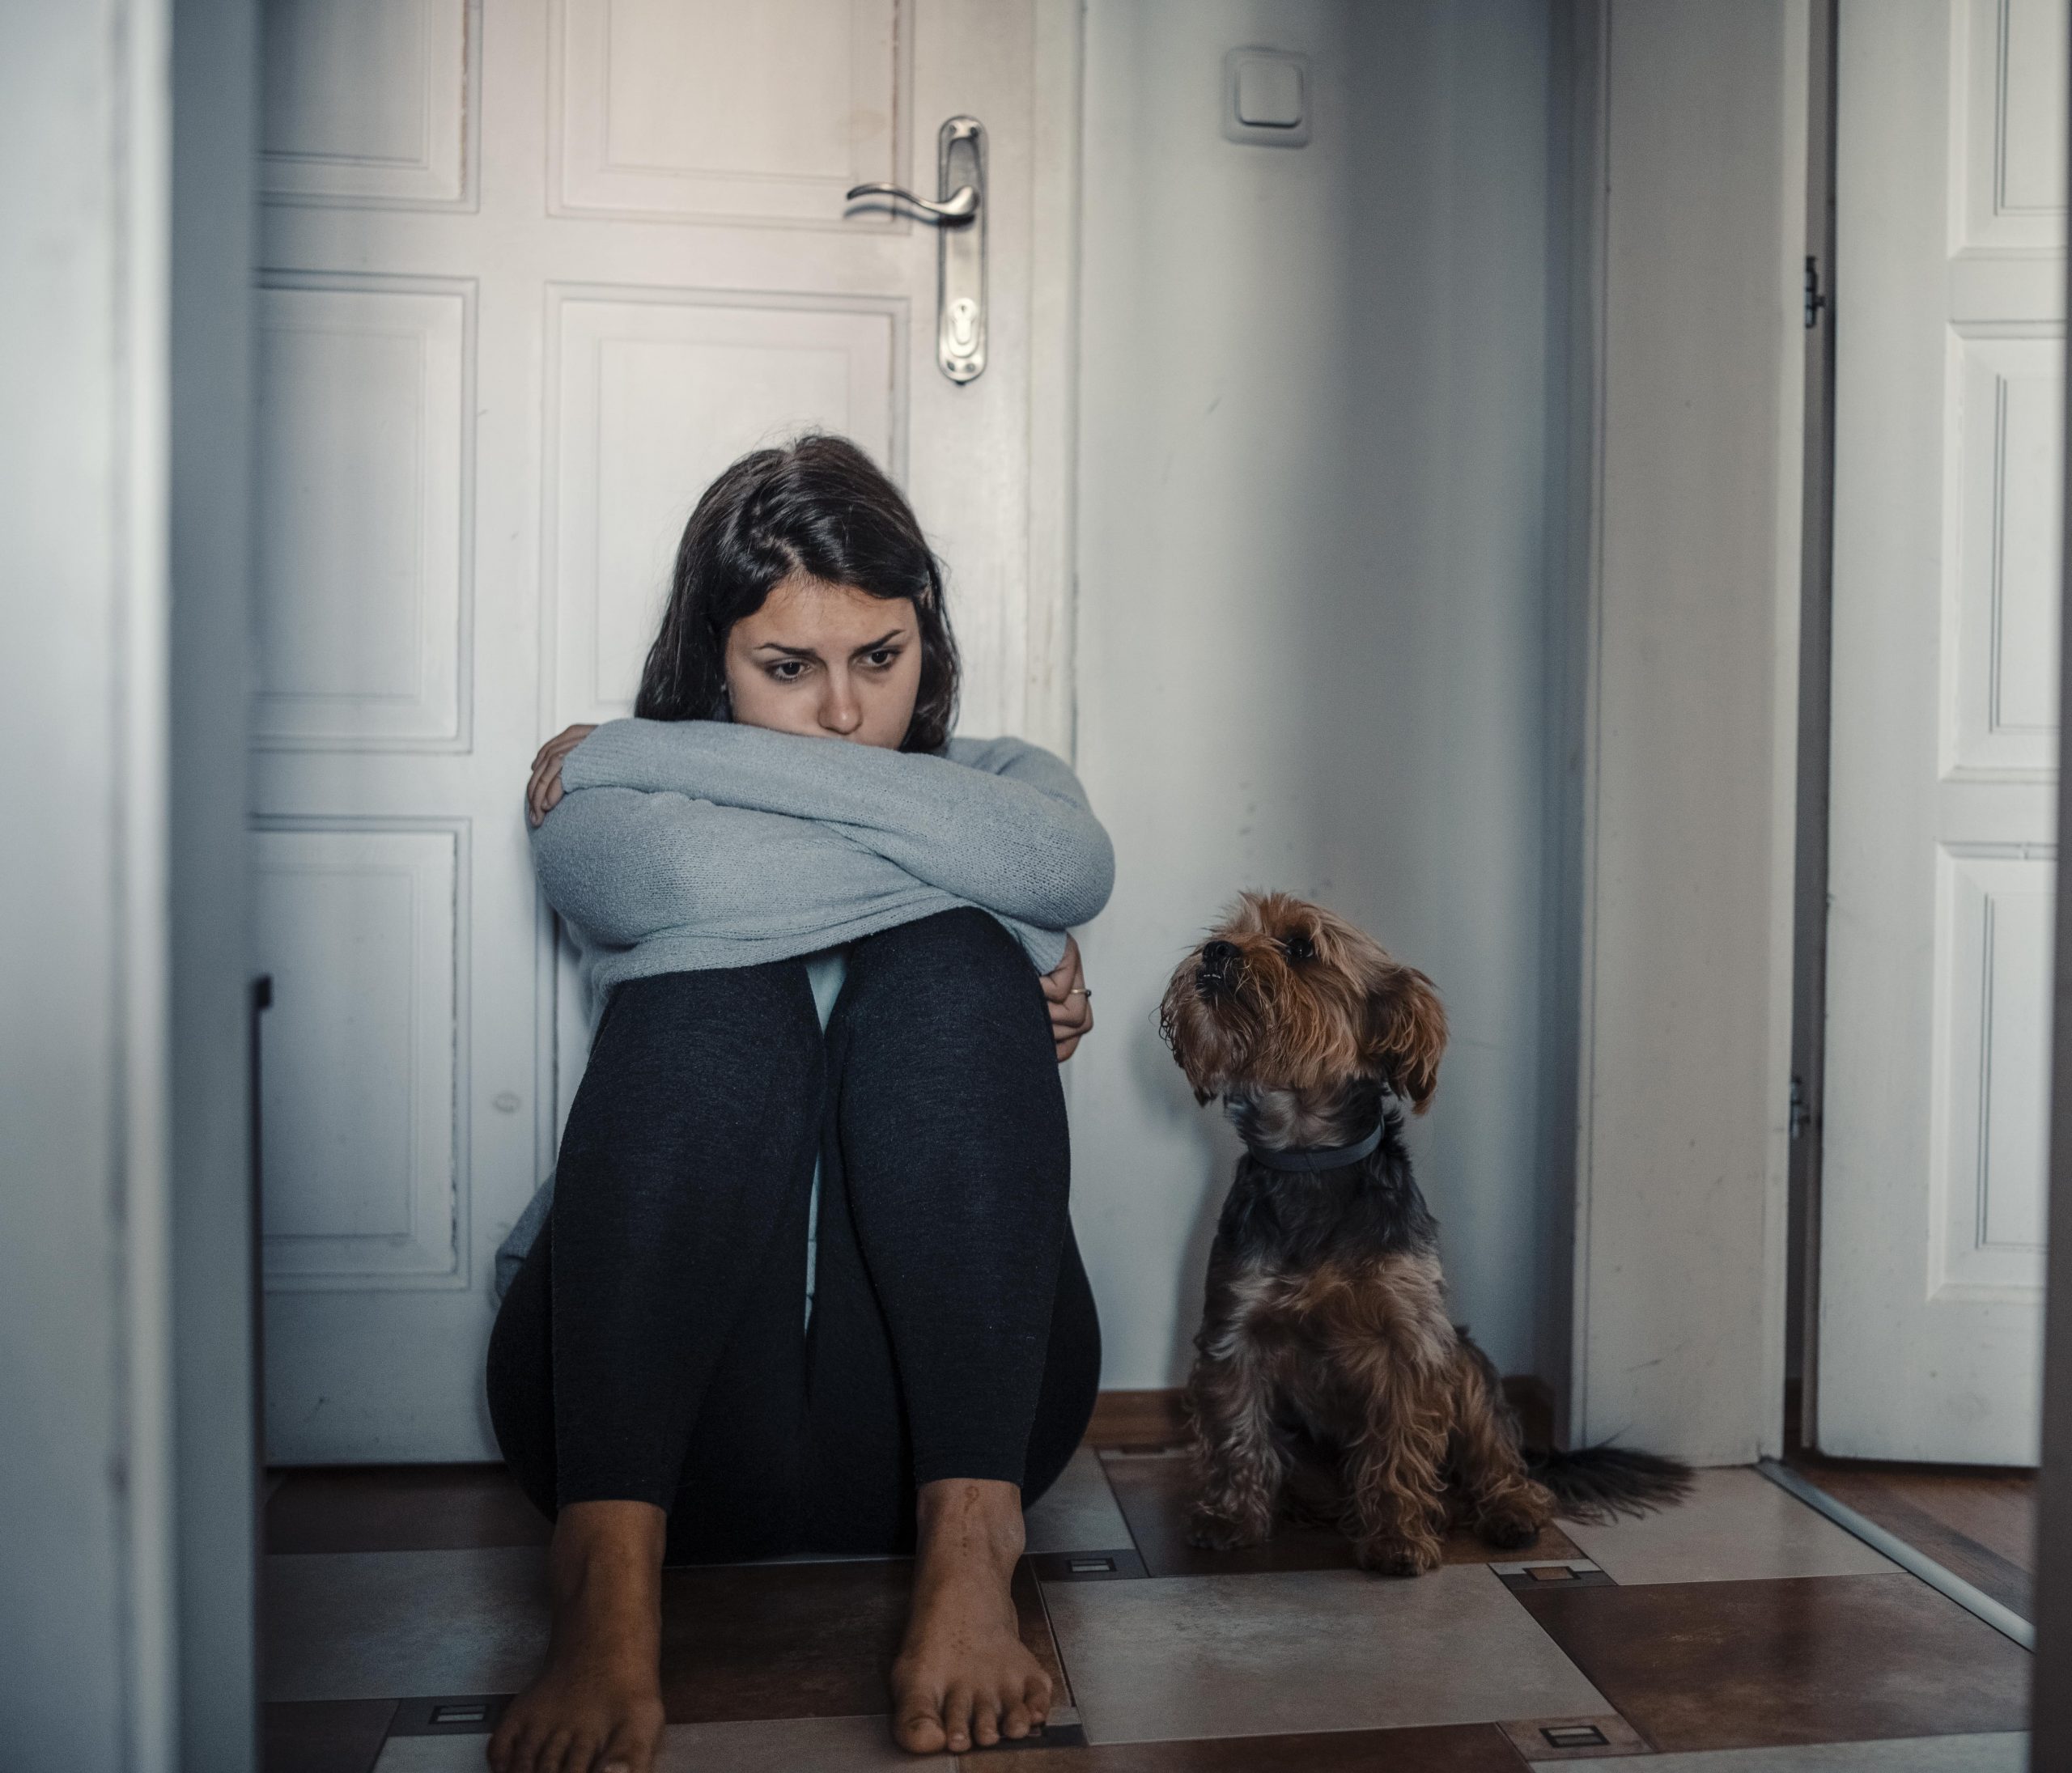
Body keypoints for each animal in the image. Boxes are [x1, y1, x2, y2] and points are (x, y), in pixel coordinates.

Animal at [1160, 894, 1690, 1574]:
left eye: (1300, 946)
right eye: (1228, 930)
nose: (1215, 951)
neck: (1308, 1157)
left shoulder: (1409, 1340)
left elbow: (1398, 1444)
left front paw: (1396, 1538)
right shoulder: (1235, 1330)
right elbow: (1237, 1432)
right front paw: (1230, 1518)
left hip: (1465, 1361)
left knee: (1501, 1461)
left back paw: (1511, 1510)